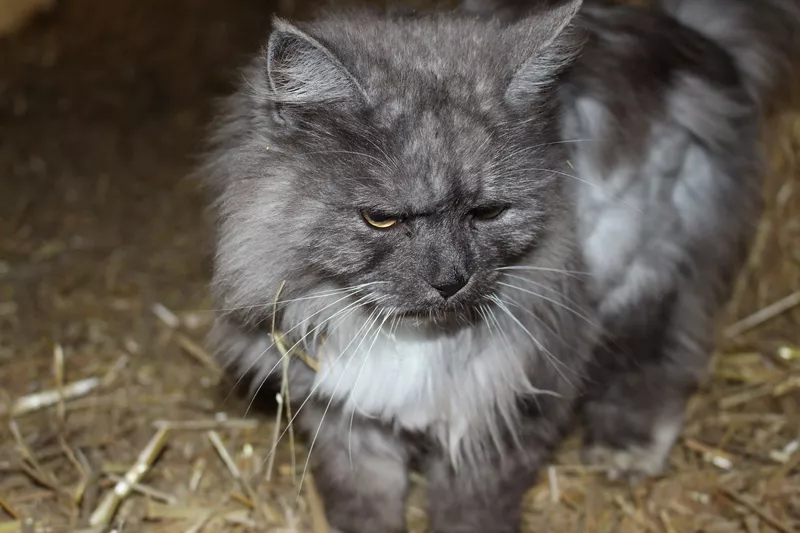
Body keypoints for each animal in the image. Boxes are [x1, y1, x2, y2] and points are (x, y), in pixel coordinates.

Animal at [200, 1, 800, 532]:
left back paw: (625, 452)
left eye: (487, 212)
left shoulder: (504, 408)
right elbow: (363, 501)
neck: (412, 337)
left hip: (647, 275)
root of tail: (697, 37)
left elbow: (473, 506)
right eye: (381, 219)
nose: (451, 282)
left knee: (659, 364)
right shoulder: (344, 416)